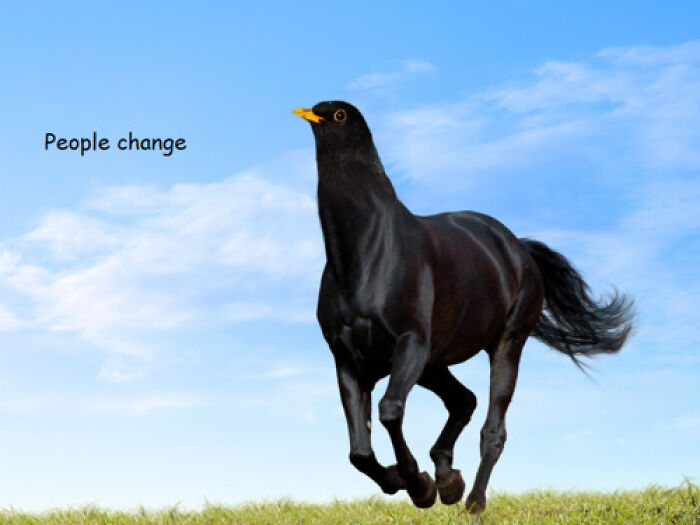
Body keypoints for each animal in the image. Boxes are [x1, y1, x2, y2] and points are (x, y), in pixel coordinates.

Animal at [293, 101, 633, 514]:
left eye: (339, 115)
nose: (304, 112)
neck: (364, 256)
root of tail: (517, 248)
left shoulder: (409, 343)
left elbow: (390, 410)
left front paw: (419, 485)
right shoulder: (349, 359)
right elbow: (358, 450)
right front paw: (412, 482)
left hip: (504, 344)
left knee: (492, 428)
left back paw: (471, 501)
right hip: (433, 363)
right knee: (463, 401)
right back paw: (448, 480)